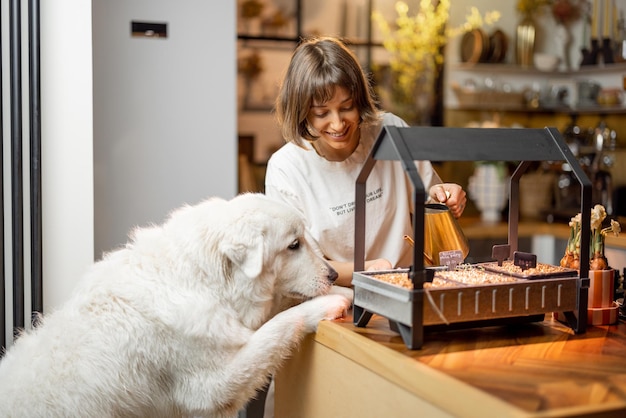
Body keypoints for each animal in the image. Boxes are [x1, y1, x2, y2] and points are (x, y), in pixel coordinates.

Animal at [0, 194, 352, 416]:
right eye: (294, 245)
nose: (334, 273)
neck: (203, 281)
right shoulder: (213, 386)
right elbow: (280, 327)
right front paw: (329, 303)